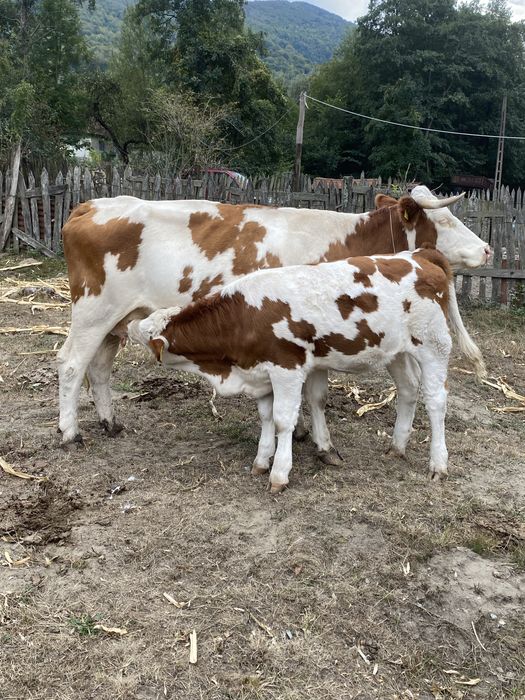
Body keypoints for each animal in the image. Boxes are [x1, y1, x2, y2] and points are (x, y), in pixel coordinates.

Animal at [57, 186, 490, 453]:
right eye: (447, 221)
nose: (487, 248)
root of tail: (91, 205)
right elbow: (313, 395)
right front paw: (310, 439)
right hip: (93, 313)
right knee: (71, 364)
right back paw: (69, 432)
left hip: (118, 320)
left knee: (99, 368)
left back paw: (109, 422)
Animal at [127, 246, 486, 493]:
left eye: (145, 335)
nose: (128, 327)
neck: (244, 317)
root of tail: (418, 255)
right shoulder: (261, 372)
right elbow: (267, 417)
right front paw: (262, 460)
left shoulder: (287, 367)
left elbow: (284, 420)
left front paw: (279, 473)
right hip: (396, 351)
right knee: (409, 390)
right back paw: (396, 447)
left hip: (434, 346)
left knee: (436, 401)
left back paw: (438, 463)